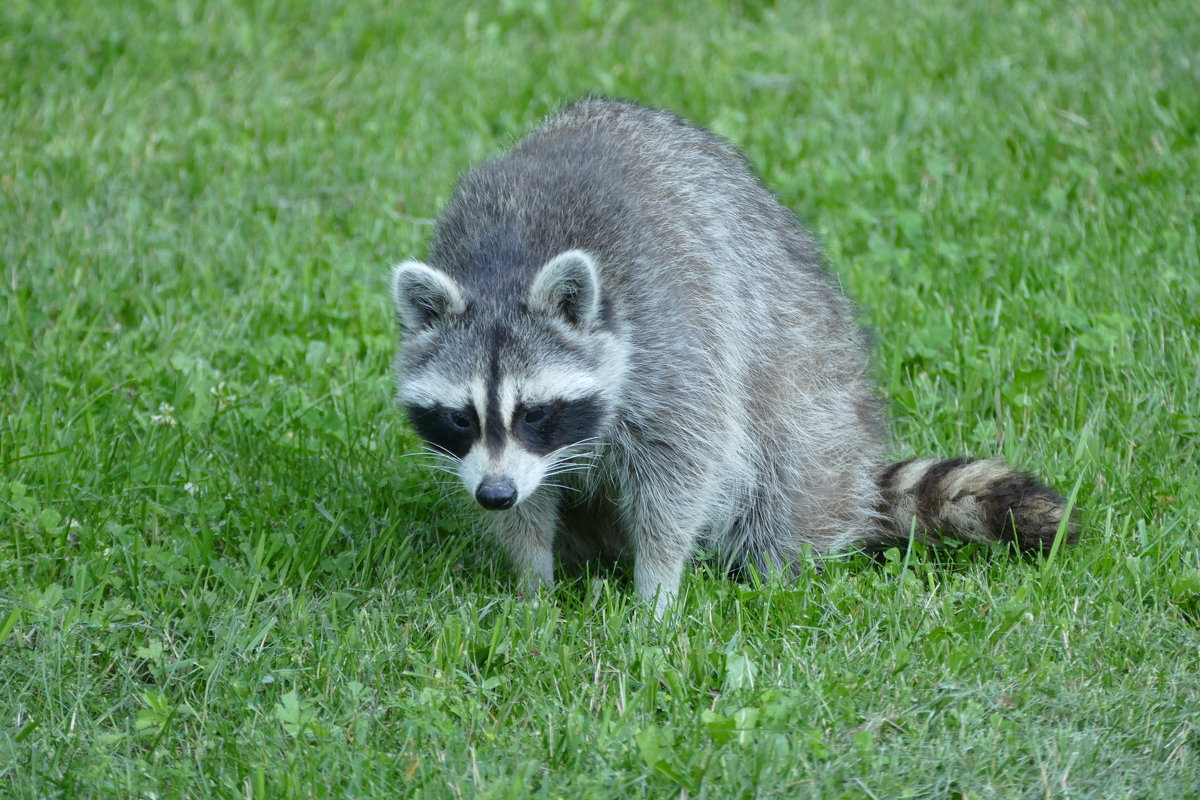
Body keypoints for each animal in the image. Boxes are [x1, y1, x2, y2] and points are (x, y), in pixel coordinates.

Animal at [393, 98, 1080, 614]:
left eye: (534, 413)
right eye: (460, 418)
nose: (494, 494)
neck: (505, 267)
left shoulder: (672, 336)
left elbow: (684, 462)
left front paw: (656, 584)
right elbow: (536, 499)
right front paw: (533, 578)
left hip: (807, 389)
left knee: (779, 464)